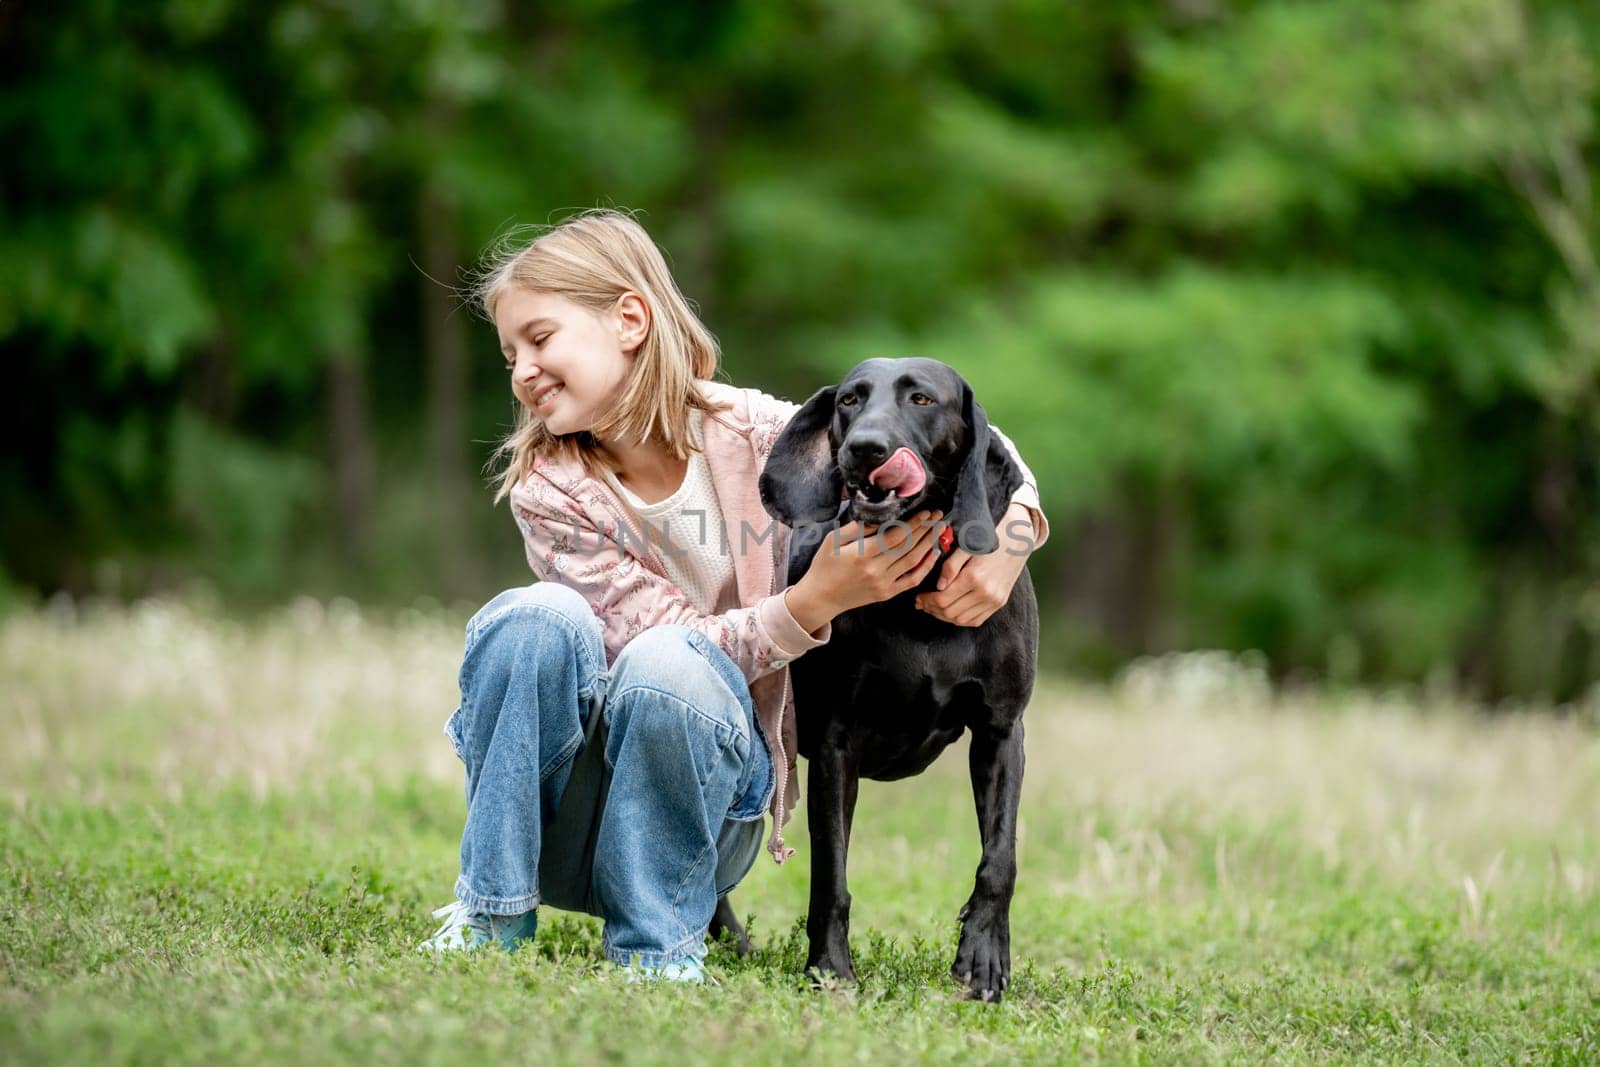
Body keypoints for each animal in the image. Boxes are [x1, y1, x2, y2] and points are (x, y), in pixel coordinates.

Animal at [758, 358, 1043, 1004]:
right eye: (849, 400)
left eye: (922, 399)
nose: (865, 448)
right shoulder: (835, 747)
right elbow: (831, 875)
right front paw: (830, 968)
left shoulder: (1002, 733)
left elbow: (1000, 858)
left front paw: (985, 956)